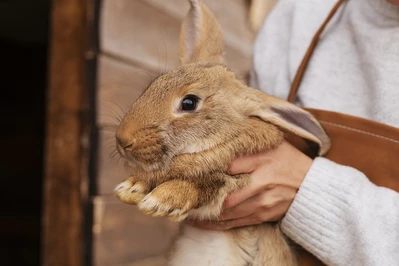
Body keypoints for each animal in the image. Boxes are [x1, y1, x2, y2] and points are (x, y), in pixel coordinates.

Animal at [113, 1, 332, 264]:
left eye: (189, 103)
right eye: (153, 84)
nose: (123, 139)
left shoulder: (238, 183)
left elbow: (209, 182)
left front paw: (163, 199)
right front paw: (132, 187)